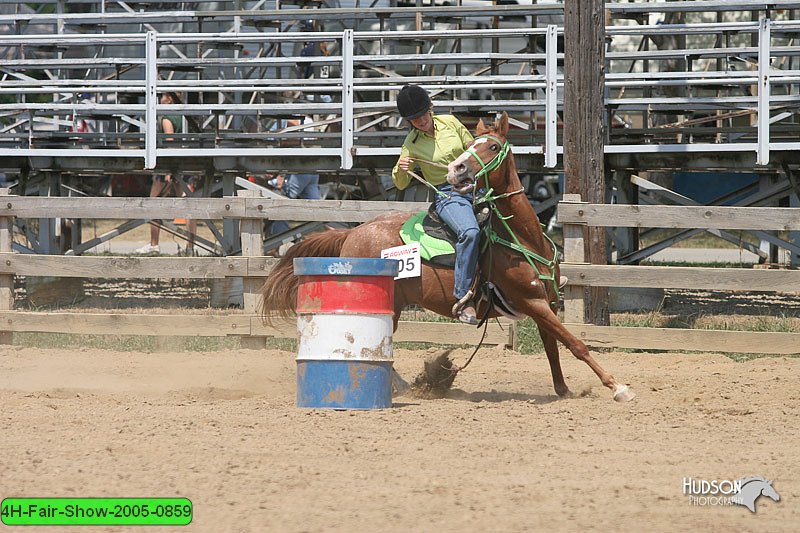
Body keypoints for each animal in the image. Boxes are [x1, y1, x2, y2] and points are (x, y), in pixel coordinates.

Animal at [262, 113, 636, 404]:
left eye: (491, 146)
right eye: (471, 146)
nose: (456, 169)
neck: (522, 238)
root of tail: (352, 233)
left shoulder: (547, 304)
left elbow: (554, 347)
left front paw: (563, 391)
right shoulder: (531, 302)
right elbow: (577, 344)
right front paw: (617, 387)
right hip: (387, 305)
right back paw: (407, 386)